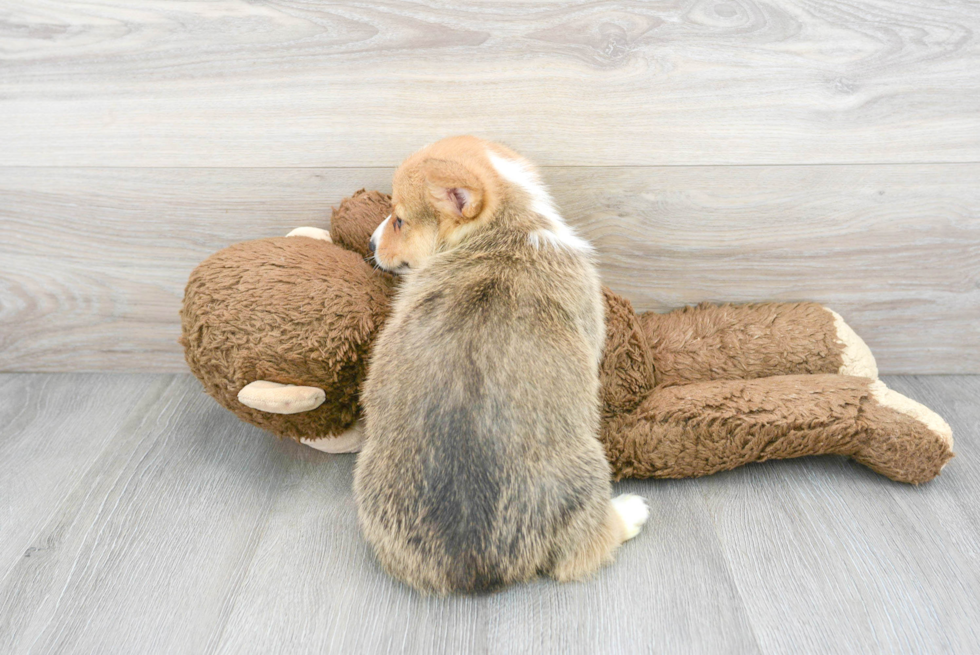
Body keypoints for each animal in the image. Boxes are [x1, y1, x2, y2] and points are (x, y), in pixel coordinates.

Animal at [354, 137, 652, 596]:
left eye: (399, 220)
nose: (369, 244)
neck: (504, 228)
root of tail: (478, 563)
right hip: (590, 470)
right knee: (587, 546)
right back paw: (629, 511)